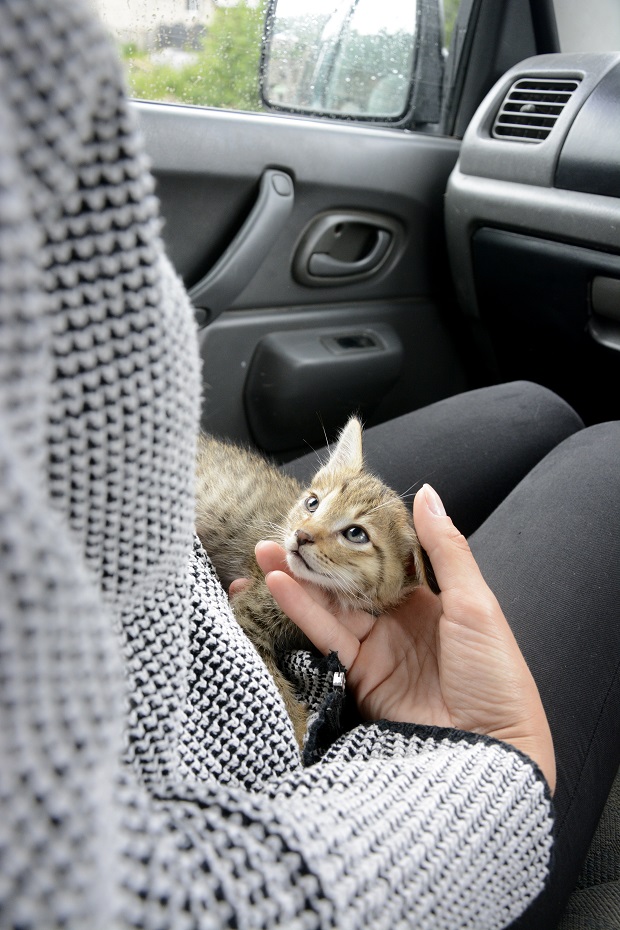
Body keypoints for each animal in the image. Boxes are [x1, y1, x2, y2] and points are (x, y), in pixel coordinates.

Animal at [196, 416, 434, 744]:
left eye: (355, 533)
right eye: (313, 503)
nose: (301, 534)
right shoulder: (247, 611)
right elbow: (274, 683)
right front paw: (298, 734)